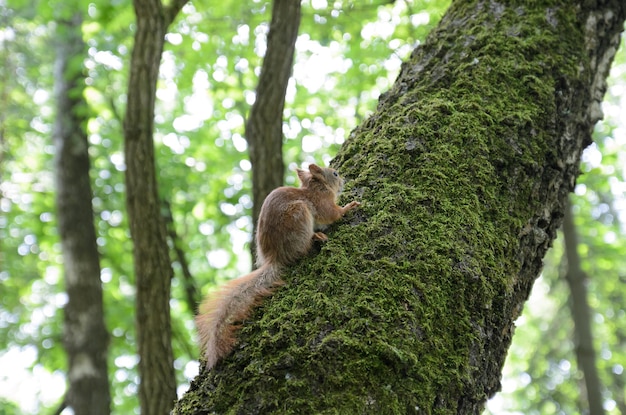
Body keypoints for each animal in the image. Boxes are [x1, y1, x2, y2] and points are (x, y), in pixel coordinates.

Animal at [195, 163, 360, 370]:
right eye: (335, 174)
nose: (344, 179)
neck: (315, 188)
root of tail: (276, 258)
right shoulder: (323, 204)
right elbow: (333, 214)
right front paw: (349, 207)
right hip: (299, 215)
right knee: (303, 248)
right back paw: (316, 237)